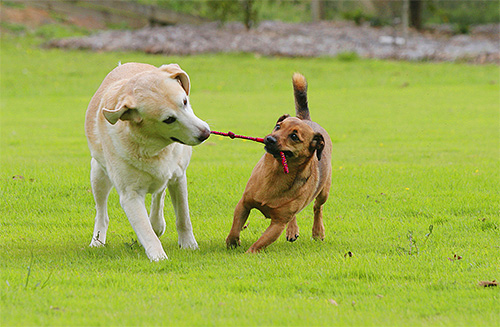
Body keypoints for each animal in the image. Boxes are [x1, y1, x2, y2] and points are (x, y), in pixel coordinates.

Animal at [227, 73, 332, 254]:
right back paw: (293, 230)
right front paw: (232, 242)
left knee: (317, 208)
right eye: (278, 126)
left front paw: (248, 254)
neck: (276, 173)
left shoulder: (278, 223)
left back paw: (318, 231)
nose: (269, 139)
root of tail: (306, 119)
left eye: (294, 136)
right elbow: (235, 227)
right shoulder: (244, 204)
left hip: (324, 191)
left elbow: (260, 243)